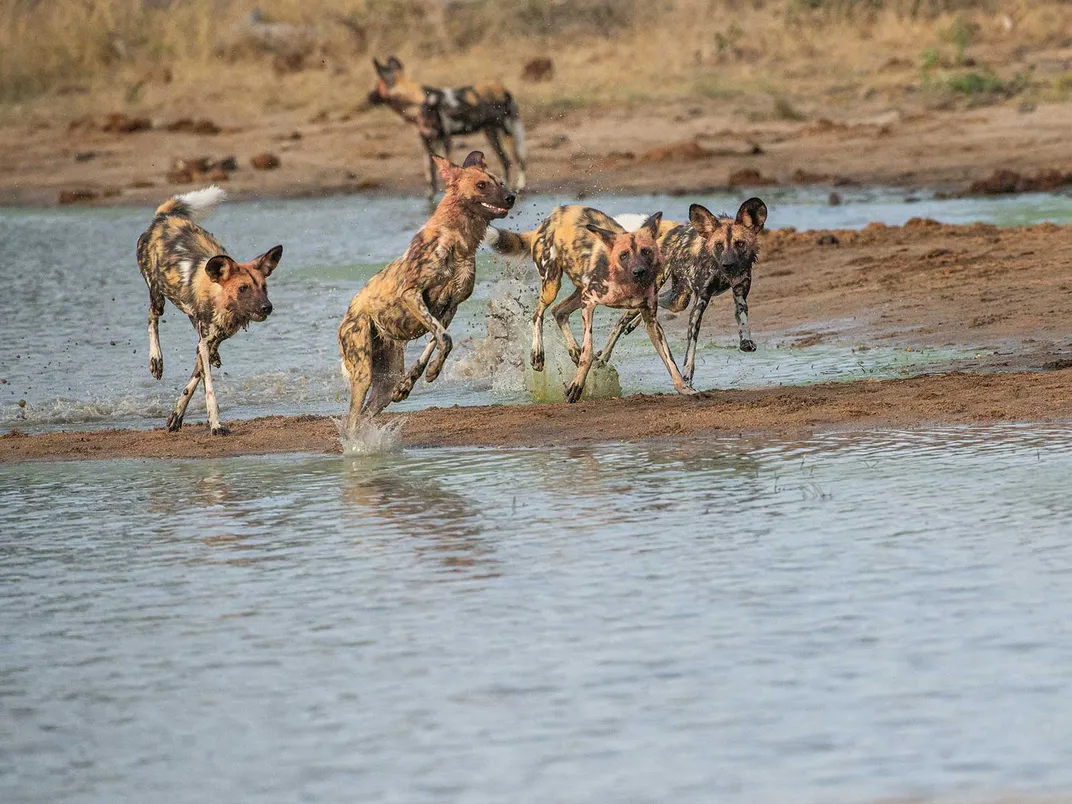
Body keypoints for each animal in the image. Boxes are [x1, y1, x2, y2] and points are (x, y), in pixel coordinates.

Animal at [136, 186, 283, 437]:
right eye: (243, 288)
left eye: (263, 287)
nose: (267, 307)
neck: (221, 302)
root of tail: (164, 218)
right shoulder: (204, 345)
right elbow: (209, 391)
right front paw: (216, 424)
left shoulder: (207, 343)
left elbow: (193, 382)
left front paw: (176, 415)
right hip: (157, 296)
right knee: (151, 316)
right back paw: (156, 359)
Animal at [338, 149, 514, 430]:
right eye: (481, 185)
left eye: (500, 181)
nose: (511, 197)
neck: (459, 240)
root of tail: (348, 314)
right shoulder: (411, 295)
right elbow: (446, 339)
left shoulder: (449, 308)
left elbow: (438, 342)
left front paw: (417, 379)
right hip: (363, 372)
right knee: (352, 420)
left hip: (383, 383)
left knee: (366, 413)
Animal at [368, 56, 527, 201]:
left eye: (376, 87)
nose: (368, 97)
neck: (418, 102)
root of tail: (504, 89)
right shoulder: (426, 142)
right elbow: (430, 174)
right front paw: (430, 197)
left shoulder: (445, 138)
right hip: (490, 134)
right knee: (505, 160)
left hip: (507, 132)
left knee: (518, 159)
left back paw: (520, 186)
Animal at [484, 202, 694, 400]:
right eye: (624, 255)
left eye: (646, 251)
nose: (639, 272)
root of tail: (549, 219)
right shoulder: (589, 302)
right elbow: (589, 351)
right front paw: (576, 385)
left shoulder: (650, 320)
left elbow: (670, 360)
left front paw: (684, 388)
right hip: (552, 284)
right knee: (537, 315)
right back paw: (538, 354)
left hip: (577, 291)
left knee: (558, 311)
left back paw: (573, 349)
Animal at [600, 195, 767, 383]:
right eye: (718, 245)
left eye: (740, 244)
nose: (728, 265)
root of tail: (671, 230)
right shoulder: (700, 302)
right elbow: (691, 343)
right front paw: (686, 373)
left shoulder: (739, 293)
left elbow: (742, 316)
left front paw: (746, 341)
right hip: (666, 290)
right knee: (622, 321)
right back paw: (603, 356)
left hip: (679, 298)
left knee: (659, 301)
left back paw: (634, 324)